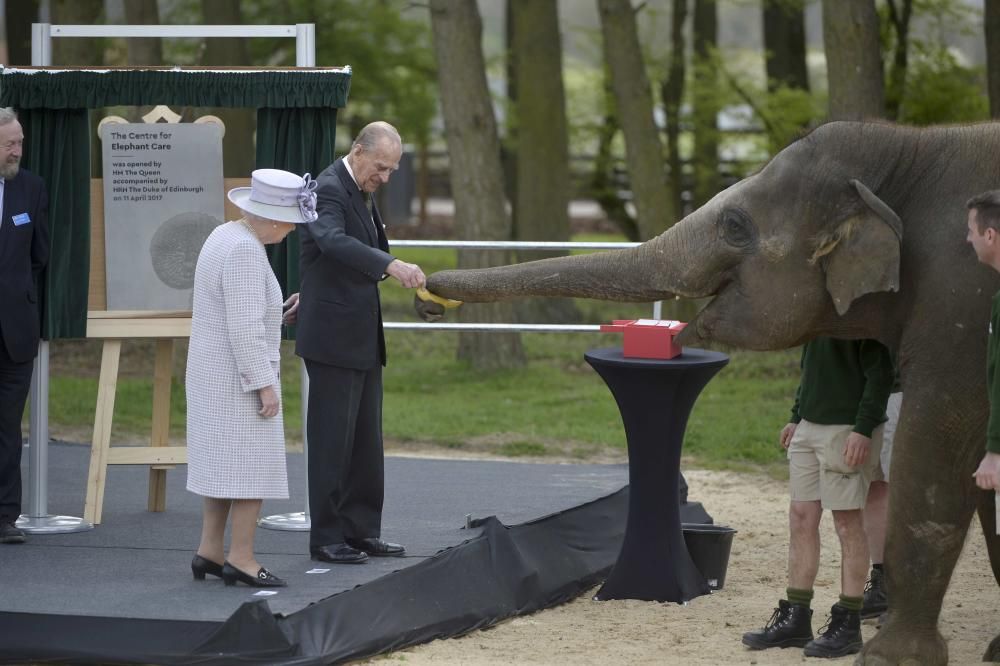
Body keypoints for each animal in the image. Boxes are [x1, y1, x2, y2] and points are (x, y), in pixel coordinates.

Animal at [416, 120, 1000, 664]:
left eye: (735, 225)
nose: (427, 296)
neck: (912, 149)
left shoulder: (960, 308)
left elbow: (937, 449)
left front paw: (889, 658)